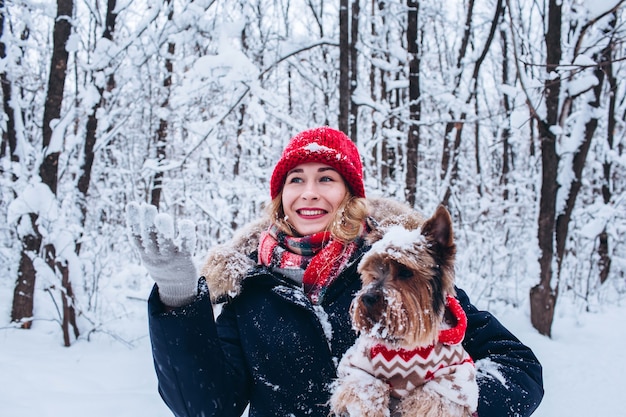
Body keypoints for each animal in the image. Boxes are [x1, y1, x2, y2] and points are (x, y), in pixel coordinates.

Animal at [330, 205, 476, 416]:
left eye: (406, 272)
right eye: (374, 271)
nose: (367, 298)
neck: (405, 343)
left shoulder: (454, 380)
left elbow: (431, 400)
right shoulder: (357, 365)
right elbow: (367, 389)